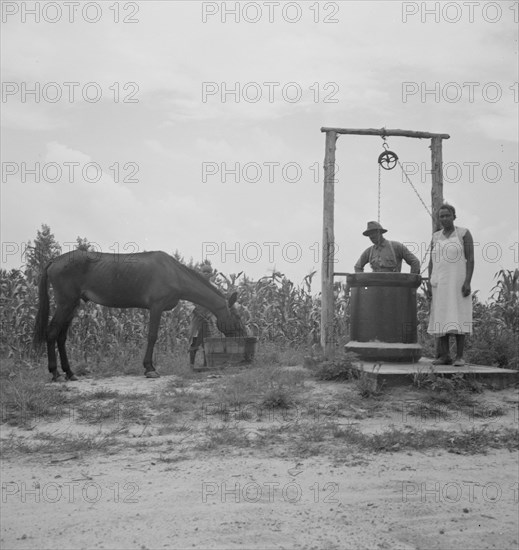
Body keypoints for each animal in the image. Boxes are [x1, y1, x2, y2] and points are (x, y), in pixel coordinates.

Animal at [33, 252, 247, 382]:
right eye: (237, 317)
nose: (243, 337)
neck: (174, 273)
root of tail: (54, 261)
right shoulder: (156, 306)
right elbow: (152, 336)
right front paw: (149, 368)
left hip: (73, 305)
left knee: (61, 336)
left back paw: (70, 373)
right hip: (65, 303)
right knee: (52, 333)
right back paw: (56, 373)